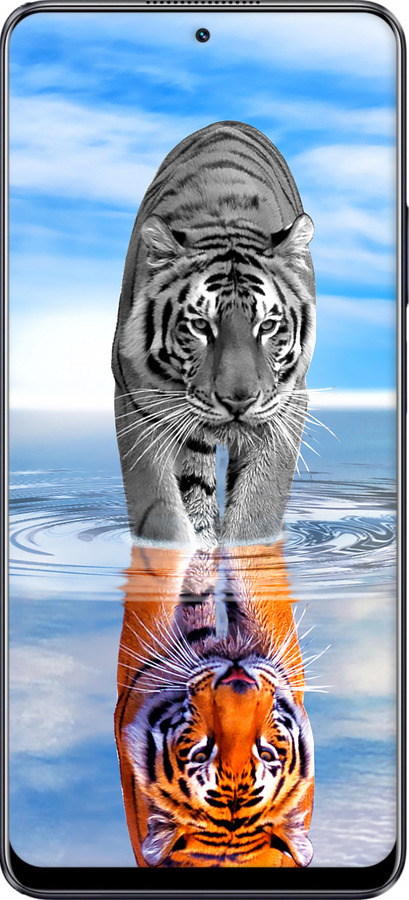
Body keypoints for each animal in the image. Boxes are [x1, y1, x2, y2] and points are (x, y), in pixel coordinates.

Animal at [112, 120, 316, 549]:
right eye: (200, 325)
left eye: (267, 326)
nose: (238, 401)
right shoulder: (136, 401)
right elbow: (159, 512)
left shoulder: (287, 404)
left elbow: (258, 509)